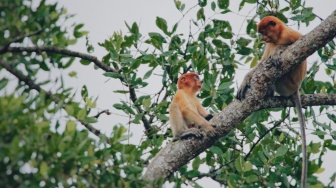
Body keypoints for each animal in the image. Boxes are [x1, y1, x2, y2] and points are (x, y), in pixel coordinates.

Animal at [236, 16, 308, 188]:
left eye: (263, 31)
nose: (262, 38)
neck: (279, 35)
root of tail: (296, 89)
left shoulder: (289, 34)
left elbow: (302, 42)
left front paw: (277, 51)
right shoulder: (270, 44)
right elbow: (261, 62)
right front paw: (245, 80)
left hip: (288, 83)